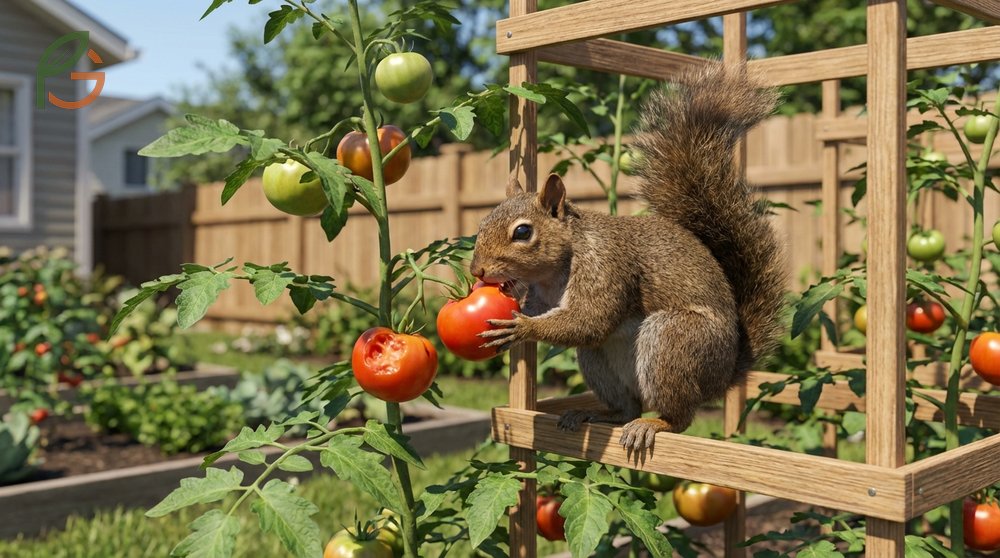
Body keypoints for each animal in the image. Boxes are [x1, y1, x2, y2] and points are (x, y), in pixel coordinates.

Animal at [469, 63, 786, 453]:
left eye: (523, 232)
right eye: (483, 222)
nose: (477, 270)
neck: (556, 270)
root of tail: (723, 377)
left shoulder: (607, 265)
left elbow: (590, 319)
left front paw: (522, 328)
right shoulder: (544, 295)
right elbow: (558, 315)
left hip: (674, 341)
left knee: (680, 417)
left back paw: (655, 424)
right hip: (599, 363)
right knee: (626, 406)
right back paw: (598, 414)